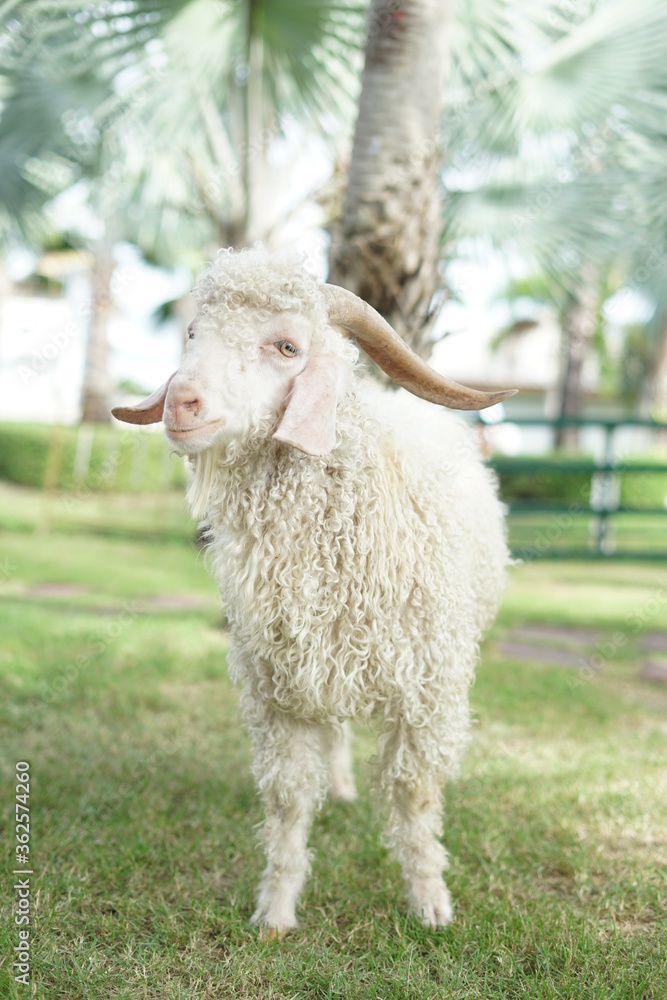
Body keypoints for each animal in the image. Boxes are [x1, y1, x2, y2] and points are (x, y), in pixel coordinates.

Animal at [112, 246, 516, 935]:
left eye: (286, 346)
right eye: (192, 333)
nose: (181, 403)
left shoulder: (427, 687)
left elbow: (415, 796)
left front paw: (430, 901)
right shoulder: (279, 686)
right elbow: (288, 799)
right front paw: (276, 909)